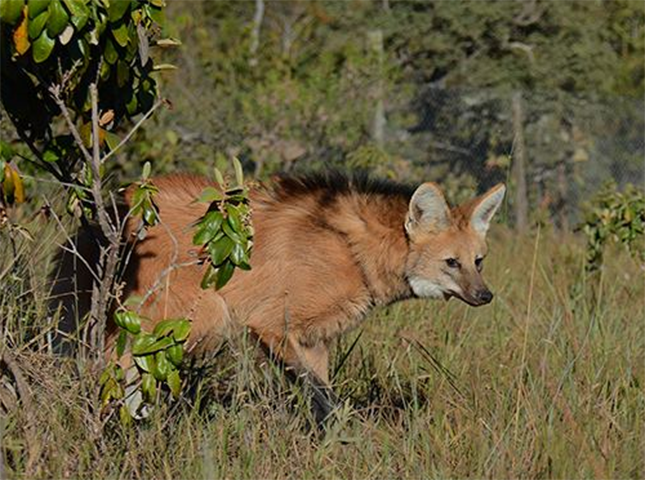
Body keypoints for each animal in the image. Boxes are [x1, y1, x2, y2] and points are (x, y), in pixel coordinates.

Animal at [51, 171, 504, 422]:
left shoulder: (314, 339)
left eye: (478, 261)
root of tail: (114, 206)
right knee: (114, 370)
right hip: (197, 315)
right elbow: (325, 398)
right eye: (451, 263)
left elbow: (321, 401)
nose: (485, 296)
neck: (355, 254)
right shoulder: (272, 325)